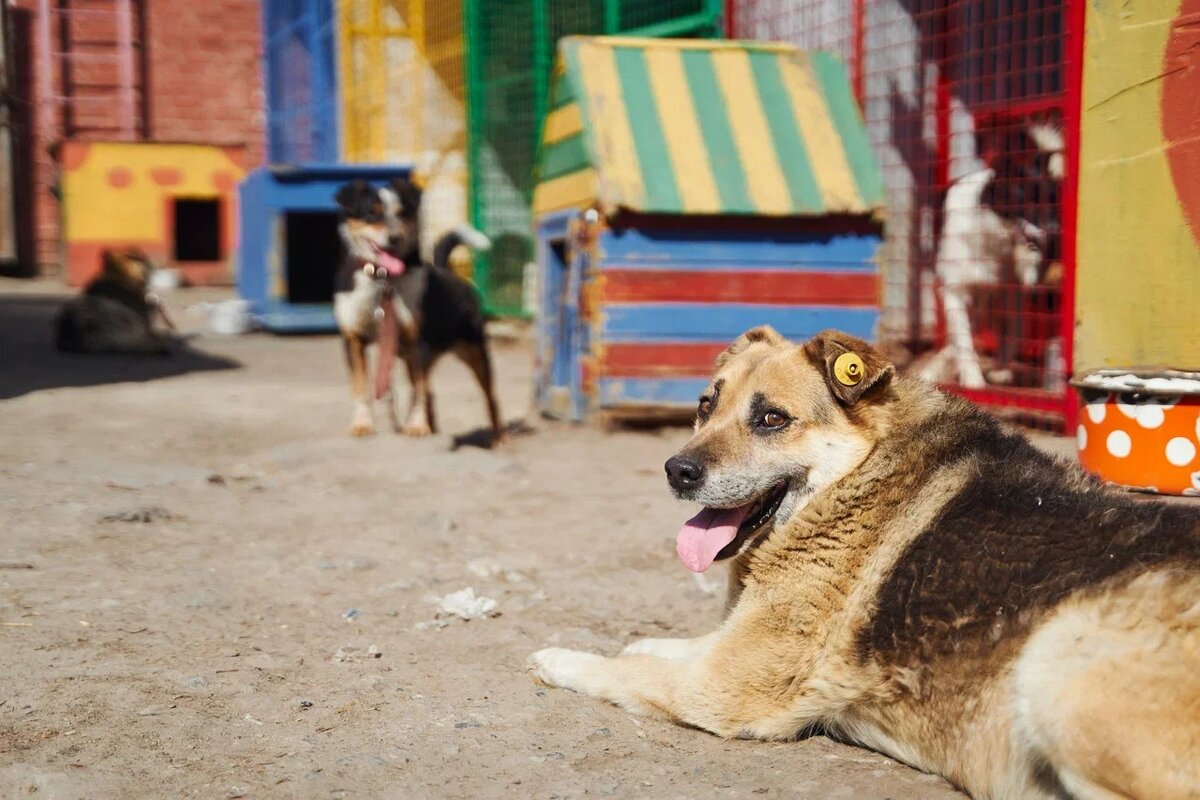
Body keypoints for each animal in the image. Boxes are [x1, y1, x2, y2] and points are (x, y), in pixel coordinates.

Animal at [532, 326, 1200, 800]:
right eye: (704, 406)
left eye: (771, 419)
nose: (677, 470)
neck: (862, 473)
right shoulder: (736, 646)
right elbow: (664, 647)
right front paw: (639, 642)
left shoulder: (721, 687)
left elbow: (623, 671)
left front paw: (557, 658)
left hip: (1053, 662)